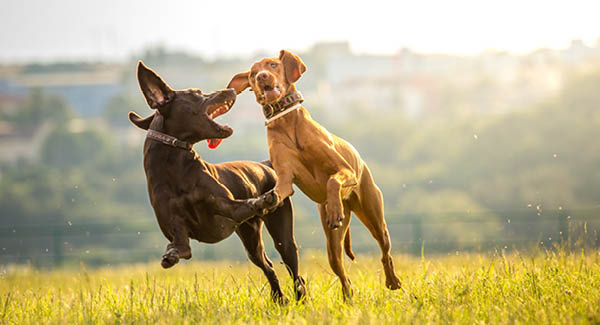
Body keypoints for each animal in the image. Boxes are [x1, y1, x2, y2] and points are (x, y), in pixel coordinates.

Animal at [128, 62, 302, 302]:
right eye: (197, 93)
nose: (230, 89)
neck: (176, 168)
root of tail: (265, 165)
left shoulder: (227, 206)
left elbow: (245, 204)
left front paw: (262, 200)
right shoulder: (176, 228)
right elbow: (181, 248)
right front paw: (170, 256)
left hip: (282, 236)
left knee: (295, 272)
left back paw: (299, 298)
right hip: (250, 240)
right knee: (268, 266)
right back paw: (279, 299)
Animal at [230, 50, 404, 296]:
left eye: (272, 65)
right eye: (253, 74)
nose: (262, 77)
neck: (286, 120)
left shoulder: (345, 170)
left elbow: (332, 181)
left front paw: (334, 209)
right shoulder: (285, 180)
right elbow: (277, 191)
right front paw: (265, 200)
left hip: (374, 215)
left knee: (385, 251)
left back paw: (392, 280)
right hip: (332, 245)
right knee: (344, 276)